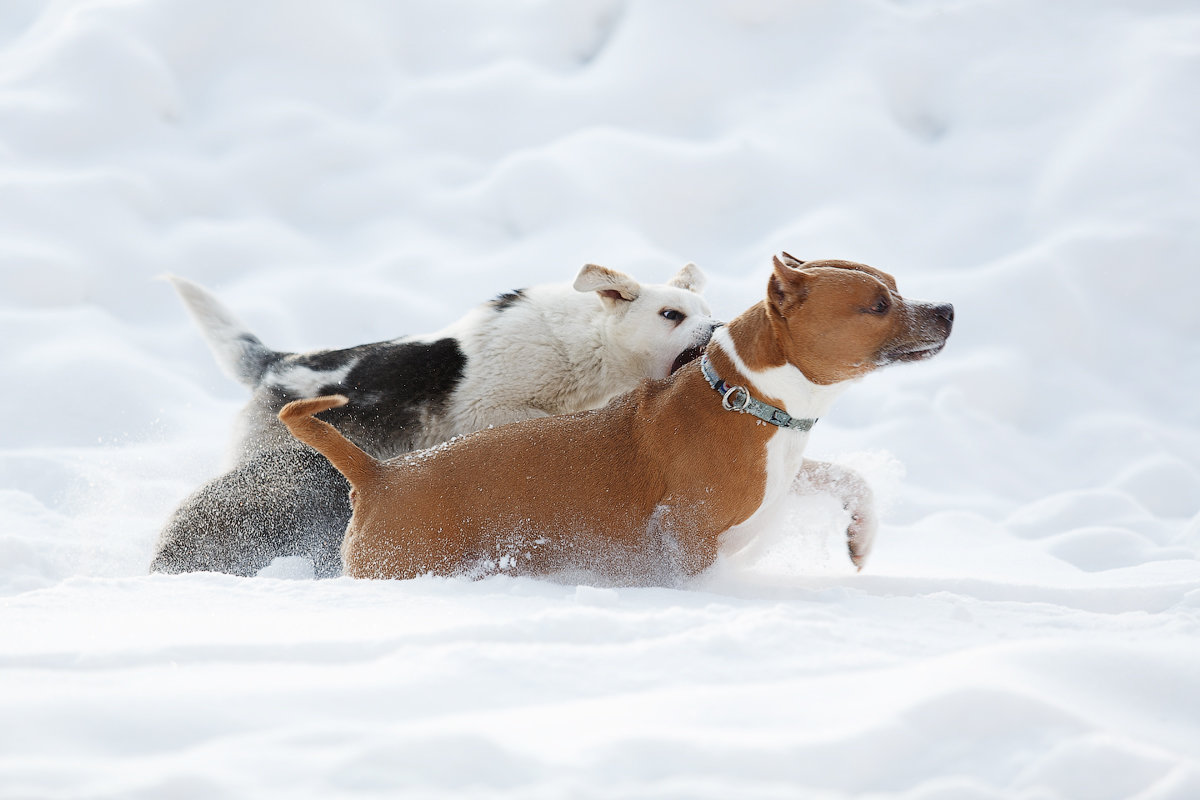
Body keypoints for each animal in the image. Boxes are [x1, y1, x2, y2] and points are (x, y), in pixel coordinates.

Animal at [148, 266, 710, 578]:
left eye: (706, 310)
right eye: (671, 314)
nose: (715, 330)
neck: (589, 347)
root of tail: (276, 363)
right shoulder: (495, 407)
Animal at [276, 255, 950, 582]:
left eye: (893, 284)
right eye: (877, 304)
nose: (946, 308)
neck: (748, 395)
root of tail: (381, 475)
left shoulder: (782, 479)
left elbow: (849, 479)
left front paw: (861, 539)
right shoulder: (688, 539)